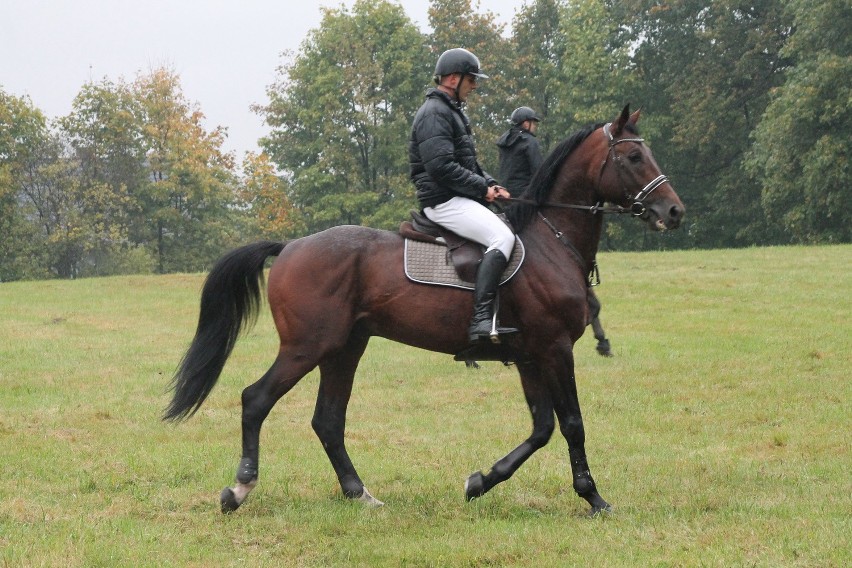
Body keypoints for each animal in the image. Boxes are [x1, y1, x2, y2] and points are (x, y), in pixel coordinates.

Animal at [165, 105, 684, 516]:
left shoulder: (530, 356)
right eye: (633, 157)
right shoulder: (555, 350)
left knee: (328, 420)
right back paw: (239, 489)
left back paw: (360, 494)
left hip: (344, 349)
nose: (674, 212)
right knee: (256, 400)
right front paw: (593, 498)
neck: (549, 240)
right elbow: (572, 424)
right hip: (307, 346)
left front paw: (480, 482)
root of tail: (290, 246)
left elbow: (542, 428)